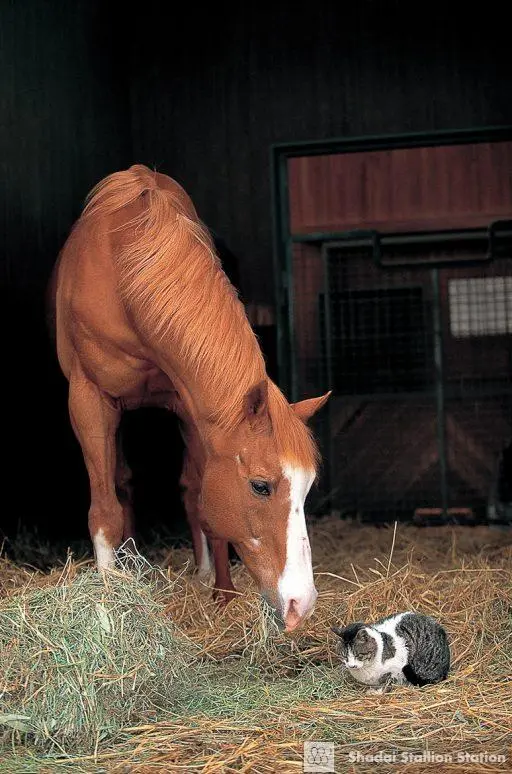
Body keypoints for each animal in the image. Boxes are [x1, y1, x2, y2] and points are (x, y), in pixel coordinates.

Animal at [49, 164, 330, 631]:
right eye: (261, 486)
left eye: (308, 487)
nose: (300, 604)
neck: (126, 275)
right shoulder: (88, 399)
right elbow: (104, 509)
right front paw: (108, 600)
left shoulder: (193, 410)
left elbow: (200, 498)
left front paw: (222, 595)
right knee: (121, 481)